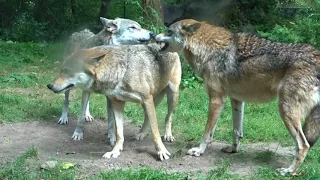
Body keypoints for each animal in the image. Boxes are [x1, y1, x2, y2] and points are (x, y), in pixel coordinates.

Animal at [47, 44, 182, 160]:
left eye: (67, 70)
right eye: (61, 70)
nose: (49, 85)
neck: (120, 71)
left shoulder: (146, 99)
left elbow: (155, 132)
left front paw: (162, 151)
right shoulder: (117, 103)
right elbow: (119, 133)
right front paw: (115, 151)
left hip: (171, 96)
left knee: (168, 117)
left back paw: (168, 135)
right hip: (148, 103)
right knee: (147, 118)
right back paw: (141, 134)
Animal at [156, 18, 320, 176]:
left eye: (168, 31)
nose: (154, 36)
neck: (207, 50)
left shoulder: (216, 100)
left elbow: (207, 133)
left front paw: (199, 151)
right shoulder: (236, 100)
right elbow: (237, 131)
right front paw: (233, 150)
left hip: (285, 111)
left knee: (303, 145)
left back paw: (288, 171)